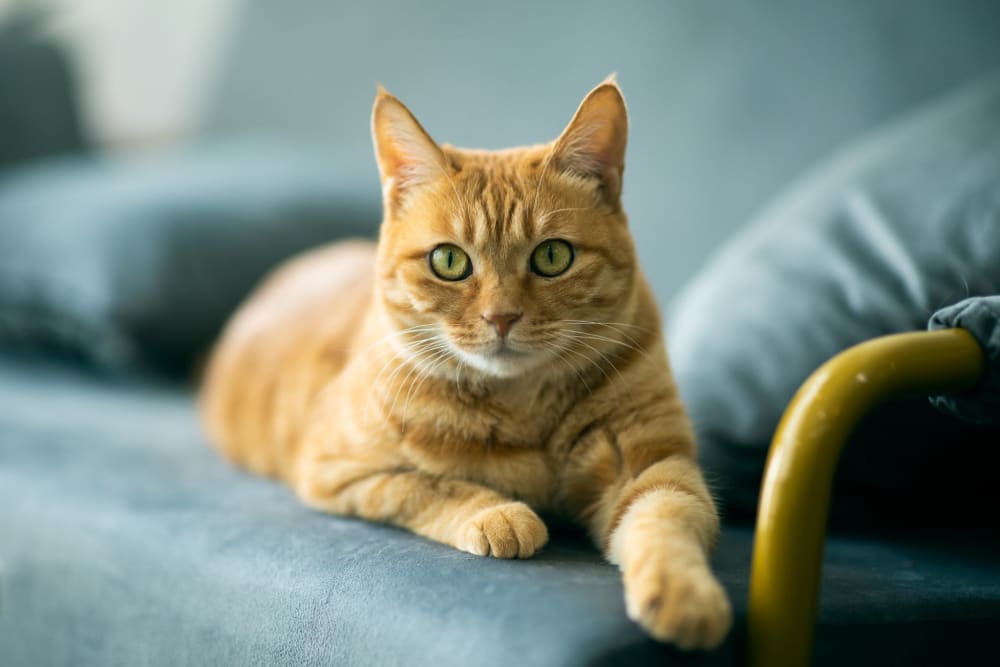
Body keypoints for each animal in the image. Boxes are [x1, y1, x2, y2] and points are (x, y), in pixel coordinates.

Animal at [201, 75, 736, 648]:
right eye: (449, 261)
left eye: (553, 256)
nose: (501, 317)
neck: (523, 407)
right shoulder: (338, 471)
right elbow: (428, 485)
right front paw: (499, 514)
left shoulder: (652, 467)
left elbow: (668, 519)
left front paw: (686, 597)